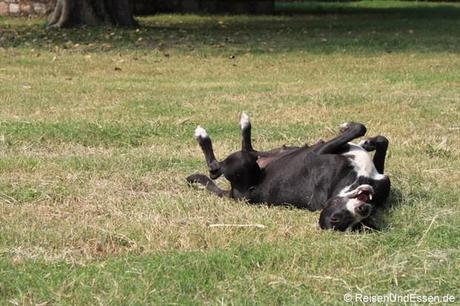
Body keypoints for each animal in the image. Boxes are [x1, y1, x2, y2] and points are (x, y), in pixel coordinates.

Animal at [185, 113, 390, 231]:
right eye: (336, 217)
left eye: (359, 225)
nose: (363, 210)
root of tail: (234, 194)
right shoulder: (322, 151)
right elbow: (366, 132)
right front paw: (363, 138)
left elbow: (372, 135)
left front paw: (366, 140)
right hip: (253, 159)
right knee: (222, 165)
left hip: (250, 160)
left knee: (226, 162)